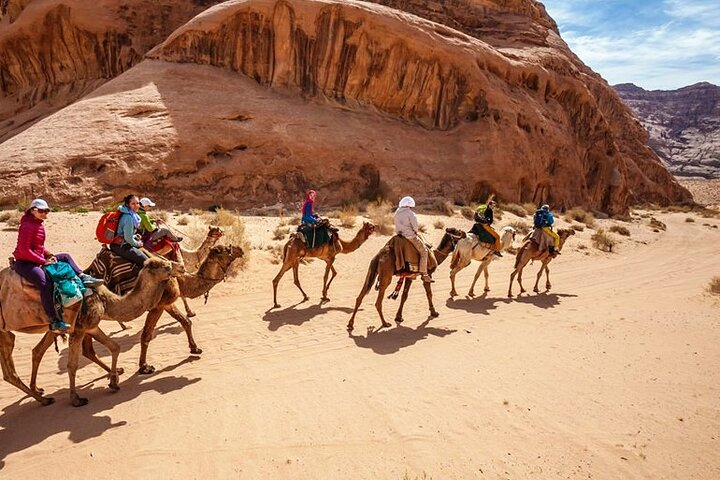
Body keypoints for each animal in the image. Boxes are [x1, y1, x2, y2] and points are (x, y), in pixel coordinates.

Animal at [0, 256, 180, 406]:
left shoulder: (91, 326)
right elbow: (72, 365)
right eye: (164, 265)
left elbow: (114, 347)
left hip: (12, 333)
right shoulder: (79, 329)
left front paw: (114, 380)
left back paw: (38, 392)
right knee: (12, 371)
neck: (106, 300)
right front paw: (76, 399)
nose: (180, 266)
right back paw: (43, 399)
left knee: (30, 356)